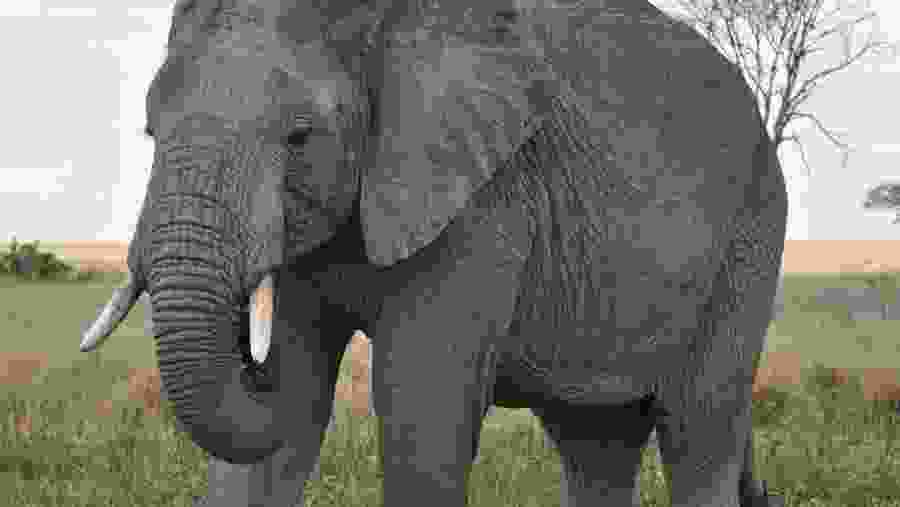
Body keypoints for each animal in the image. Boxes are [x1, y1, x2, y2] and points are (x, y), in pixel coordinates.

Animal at [78, 0, 787, 506]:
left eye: (301, 136)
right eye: (151, 130)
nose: (252, 364)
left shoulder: (481, 197)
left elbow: (421, 413)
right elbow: (284, 427)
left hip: (751, 235)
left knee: (698, 430)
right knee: (596, 443)